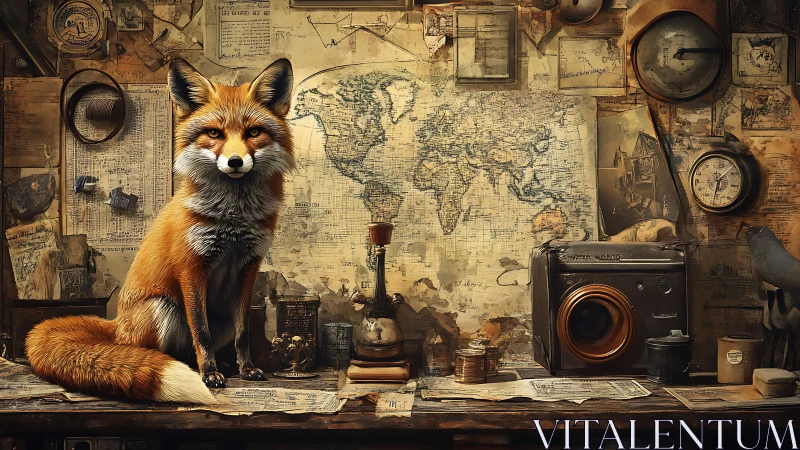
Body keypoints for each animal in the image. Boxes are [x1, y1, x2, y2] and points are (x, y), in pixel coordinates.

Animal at [24, 57, 295, 404]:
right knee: (157, 352)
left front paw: (245, 368)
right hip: (162, 308)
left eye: (254, 132)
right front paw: (209, 375)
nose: (235, 161)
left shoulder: (249, 266)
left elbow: (243, 331)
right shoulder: (191, 267)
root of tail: (117, 326)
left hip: (216, 313)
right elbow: (201, 332)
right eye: (214, 133)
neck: (233, 216)